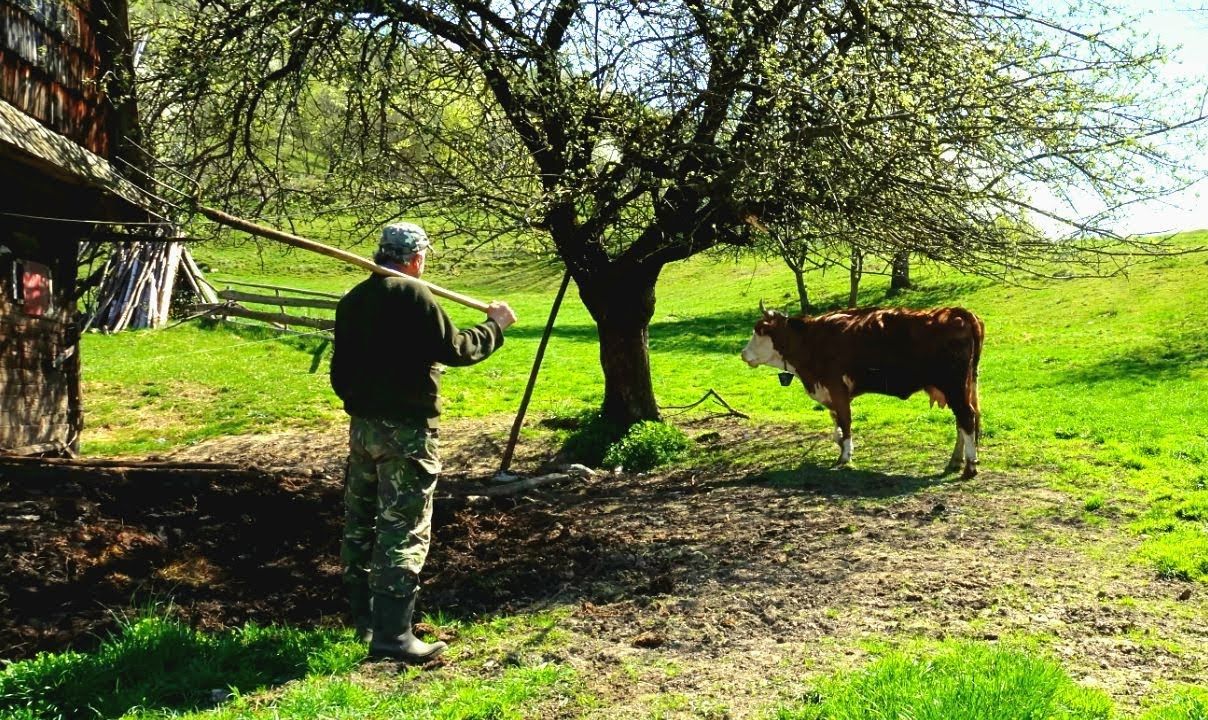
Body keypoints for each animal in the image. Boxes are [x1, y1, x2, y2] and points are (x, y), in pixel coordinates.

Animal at [739, 303, 985, 478]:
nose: (743, 354)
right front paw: (840, 445)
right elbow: (837, 425)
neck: (812, 340)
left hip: (953, 386)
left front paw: (845, 456)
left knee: (966, 418)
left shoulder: (837, 388)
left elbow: (845, 422)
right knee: (965, 421)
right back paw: (956, 461)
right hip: (965, 386)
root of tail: (956, 312)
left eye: (759, 331)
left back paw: (969, 467)